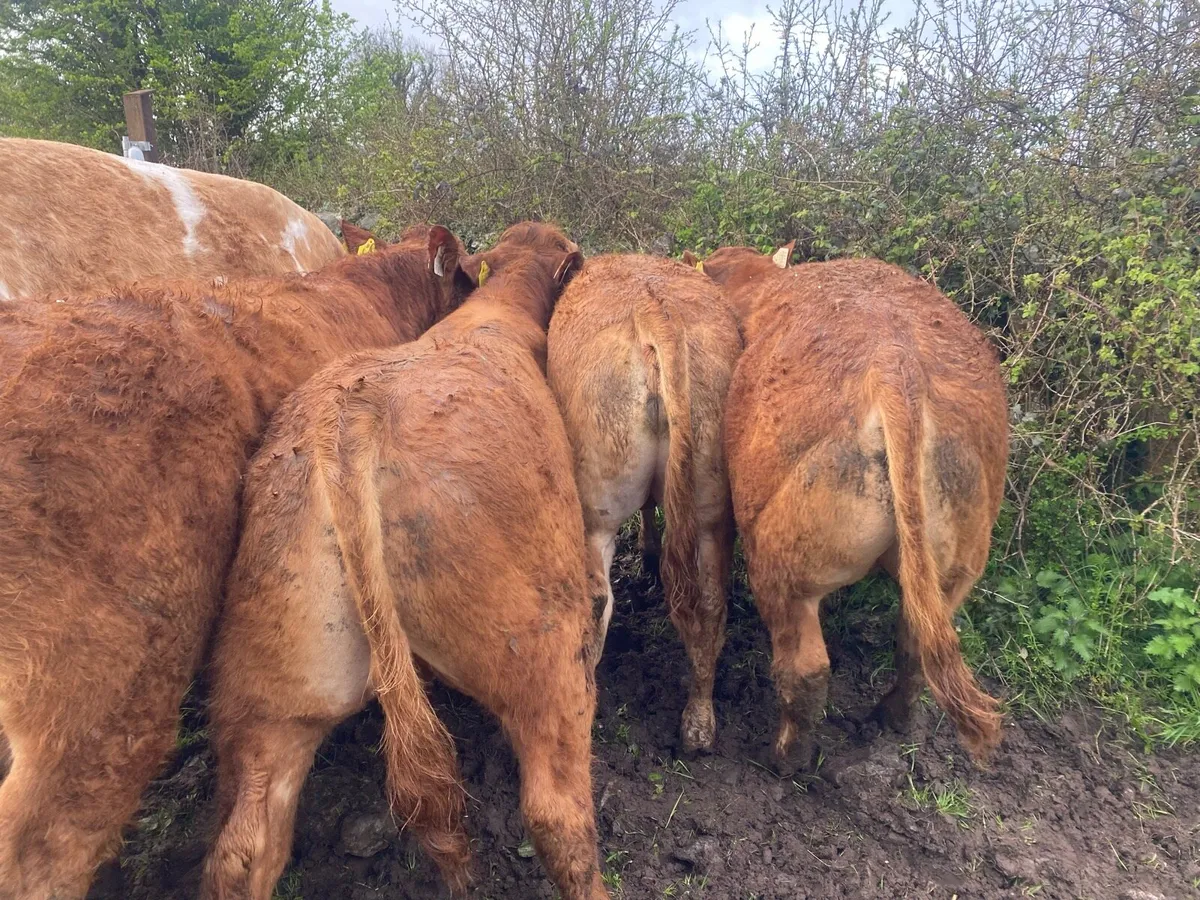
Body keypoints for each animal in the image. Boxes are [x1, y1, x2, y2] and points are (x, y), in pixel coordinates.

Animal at [199, 223, 607, 900]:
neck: (496, 313)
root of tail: (348, 421)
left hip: (275, 673)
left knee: (245, 843)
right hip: (542, 643)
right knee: (558, 815)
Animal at [546, 254, 743, 753]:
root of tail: (655, 311)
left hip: (595, 509)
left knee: (597, 603)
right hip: (711, 505)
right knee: (711, 604)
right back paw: (699, 722)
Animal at [686, 245, 1007, 771]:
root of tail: (896, 368)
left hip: (784, 564)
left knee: (806, 668)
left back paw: (786, 757)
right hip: (957, 560)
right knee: (917, 642)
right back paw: (890, 718)